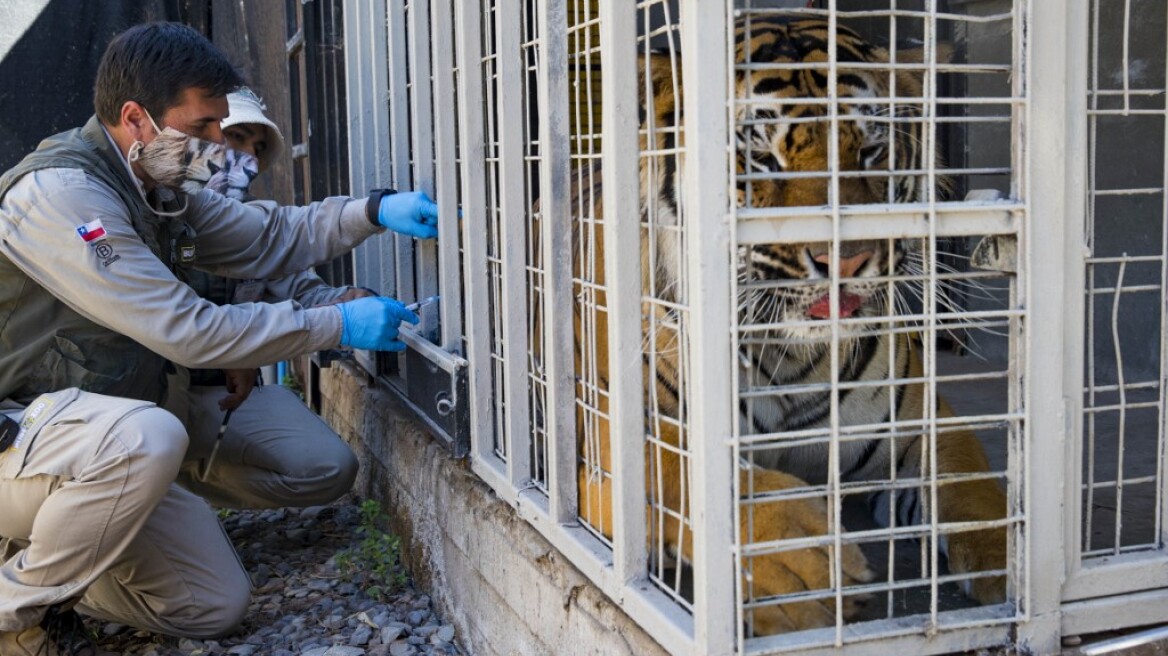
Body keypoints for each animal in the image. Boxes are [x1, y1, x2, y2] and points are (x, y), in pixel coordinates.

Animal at [569, 17, 1009, 634]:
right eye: (759, 157)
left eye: (870, 150)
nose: (845, 258)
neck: (789, 356)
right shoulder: (612, 443)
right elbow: (685, 473)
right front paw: (799, 563)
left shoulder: (923, 422)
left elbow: (973, 490)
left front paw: (1017, 564)